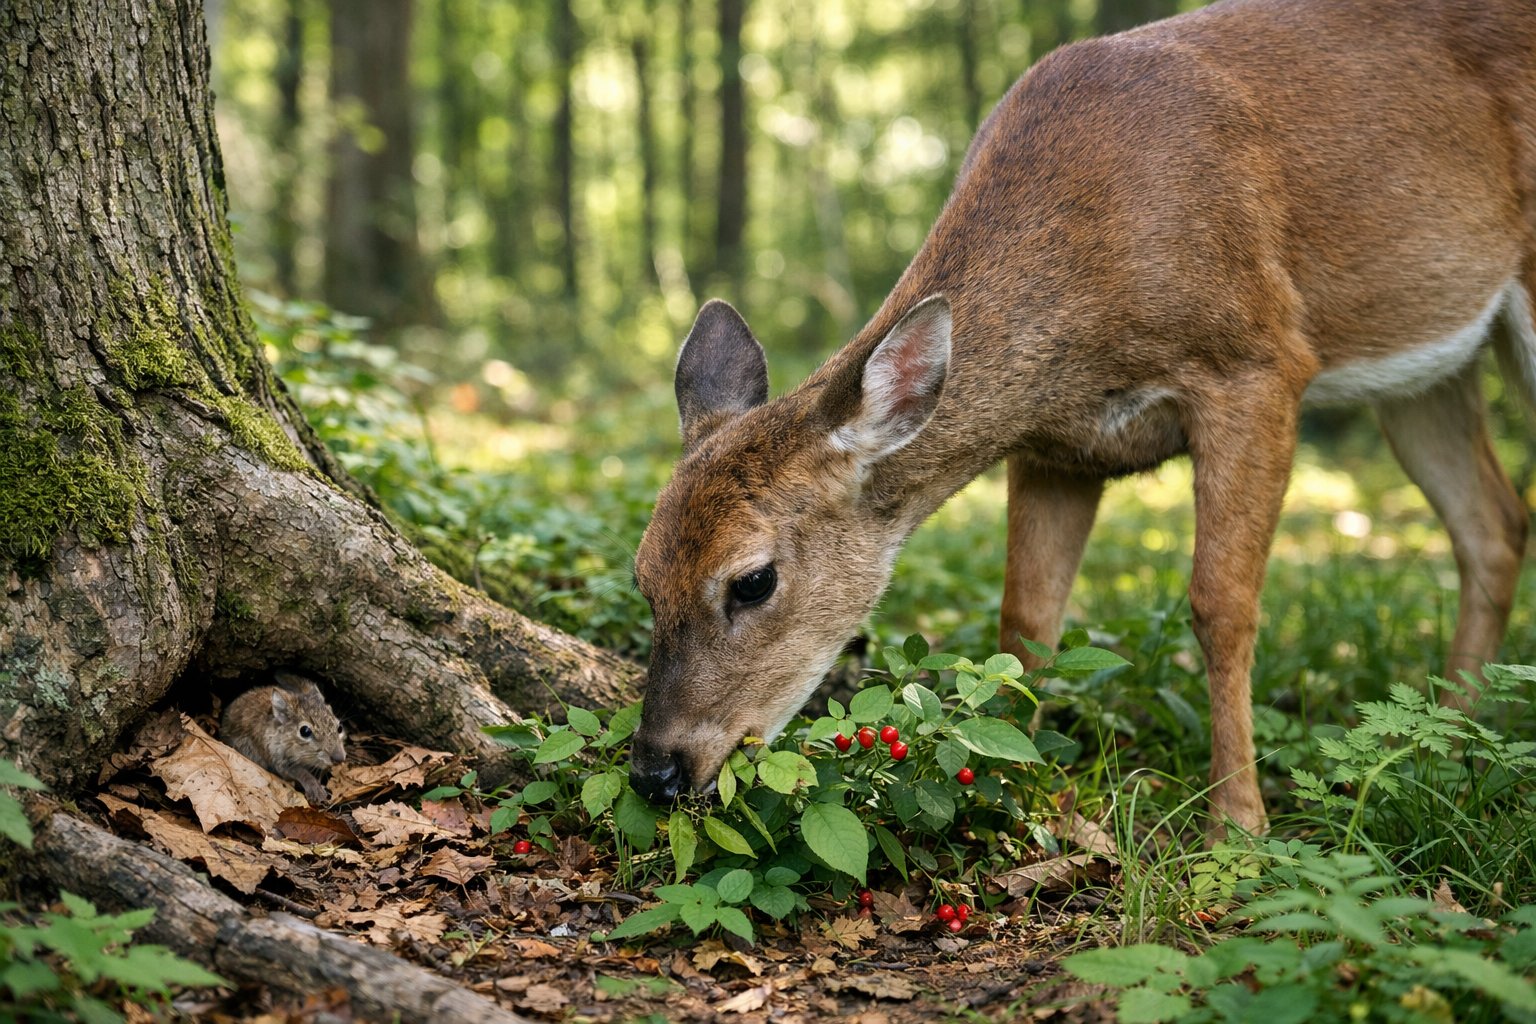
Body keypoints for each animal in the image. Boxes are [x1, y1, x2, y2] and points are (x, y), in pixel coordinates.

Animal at [628, 0, 1536, 835]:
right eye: (642, 577)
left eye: (753, 580)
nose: (656, 772)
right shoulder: (1055, 446)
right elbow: (1027, 624)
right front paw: (1013, 798)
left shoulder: (1259, 362)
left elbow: (1221, 604)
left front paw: (1237, 825)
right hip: (1426, 367)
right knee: (1493, 522)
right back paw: (1448, 748)